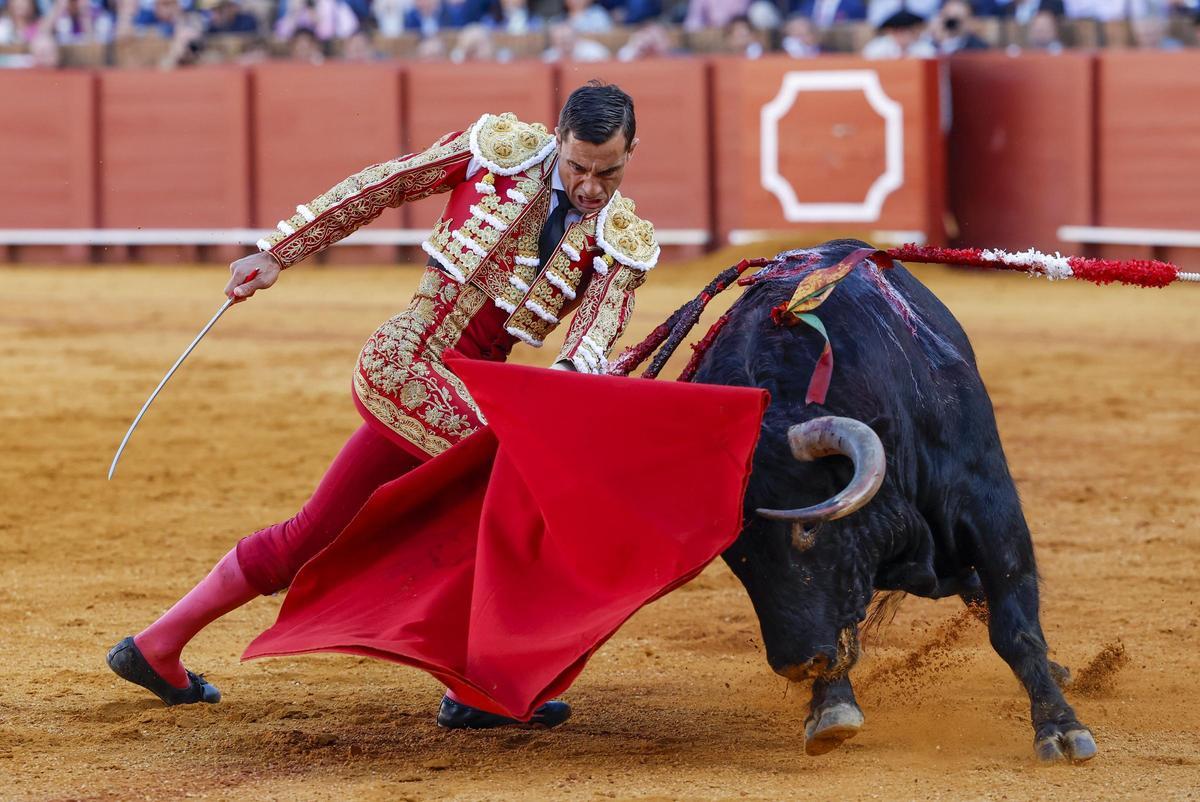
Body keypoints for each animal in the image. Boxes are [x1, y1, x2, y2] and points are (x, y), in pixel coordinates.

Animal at [638, 237, 1099, 763]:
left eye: (808, 526)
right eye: (736, 554)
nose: (796, 664)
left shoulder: (989, 506)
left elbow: (1013, 621)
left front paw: (1060, 728)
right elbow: (841, 623)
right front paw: (831, 709)